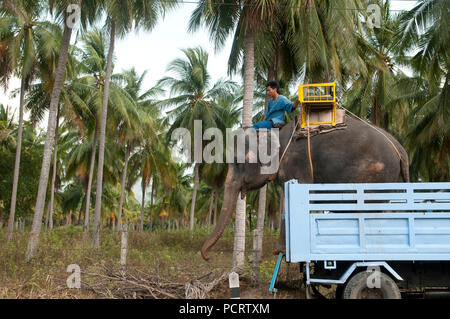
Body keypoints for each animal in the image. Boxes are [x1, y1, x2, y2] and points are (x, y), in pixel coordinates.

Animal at [202, 116, 410, 262]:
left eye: (238, 162)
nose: (208, 257)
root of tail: (400, 148)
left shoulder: (297, 164)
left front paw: (280, 251)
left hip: (373, 175)